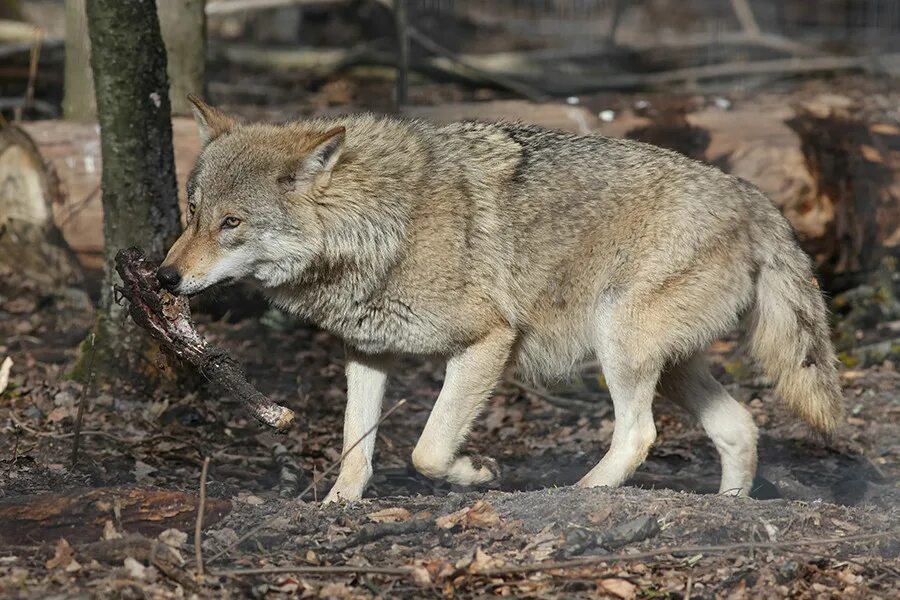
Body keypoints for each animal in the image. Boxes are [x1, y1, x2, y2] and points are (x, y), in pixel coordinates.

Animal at [160, 96, 844, 504]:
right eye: (192, 214)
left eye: (231, 223)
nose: (164, 278)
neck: (385, 222)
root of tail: (753, 197)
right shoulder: (367, 352)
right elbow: (356, 445)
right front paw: (337, 507)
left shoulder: (487, 341)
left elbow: (427, 450)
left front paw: (477, 474)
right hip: (669, 364)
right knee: (740, 427)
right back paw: (732, 507)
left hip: (620, 347)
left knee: (640, 434)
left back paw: (580, 494)